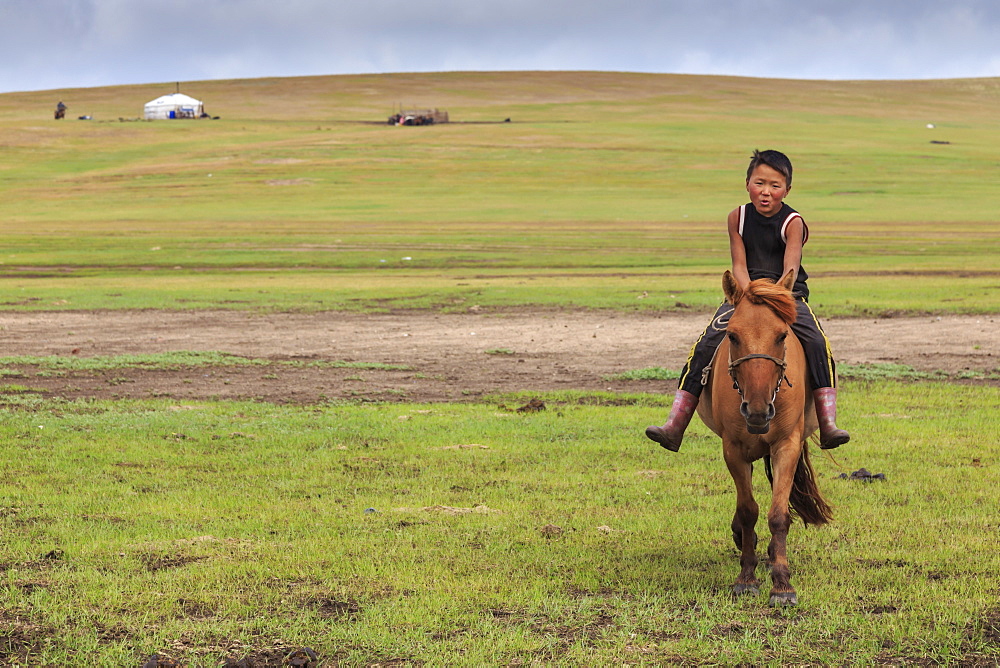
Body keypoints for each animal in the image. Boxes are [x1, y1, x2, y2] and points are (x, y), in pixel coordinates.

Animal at [700, 268, 832, 608]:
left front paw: (782, 584)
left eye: (782, 335)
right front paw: (746, 579)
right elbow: (749, 511)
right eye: (732, 336)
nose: (757, 410)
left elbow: (778, 515)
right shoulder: (732, 449)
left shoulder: (786, 445)